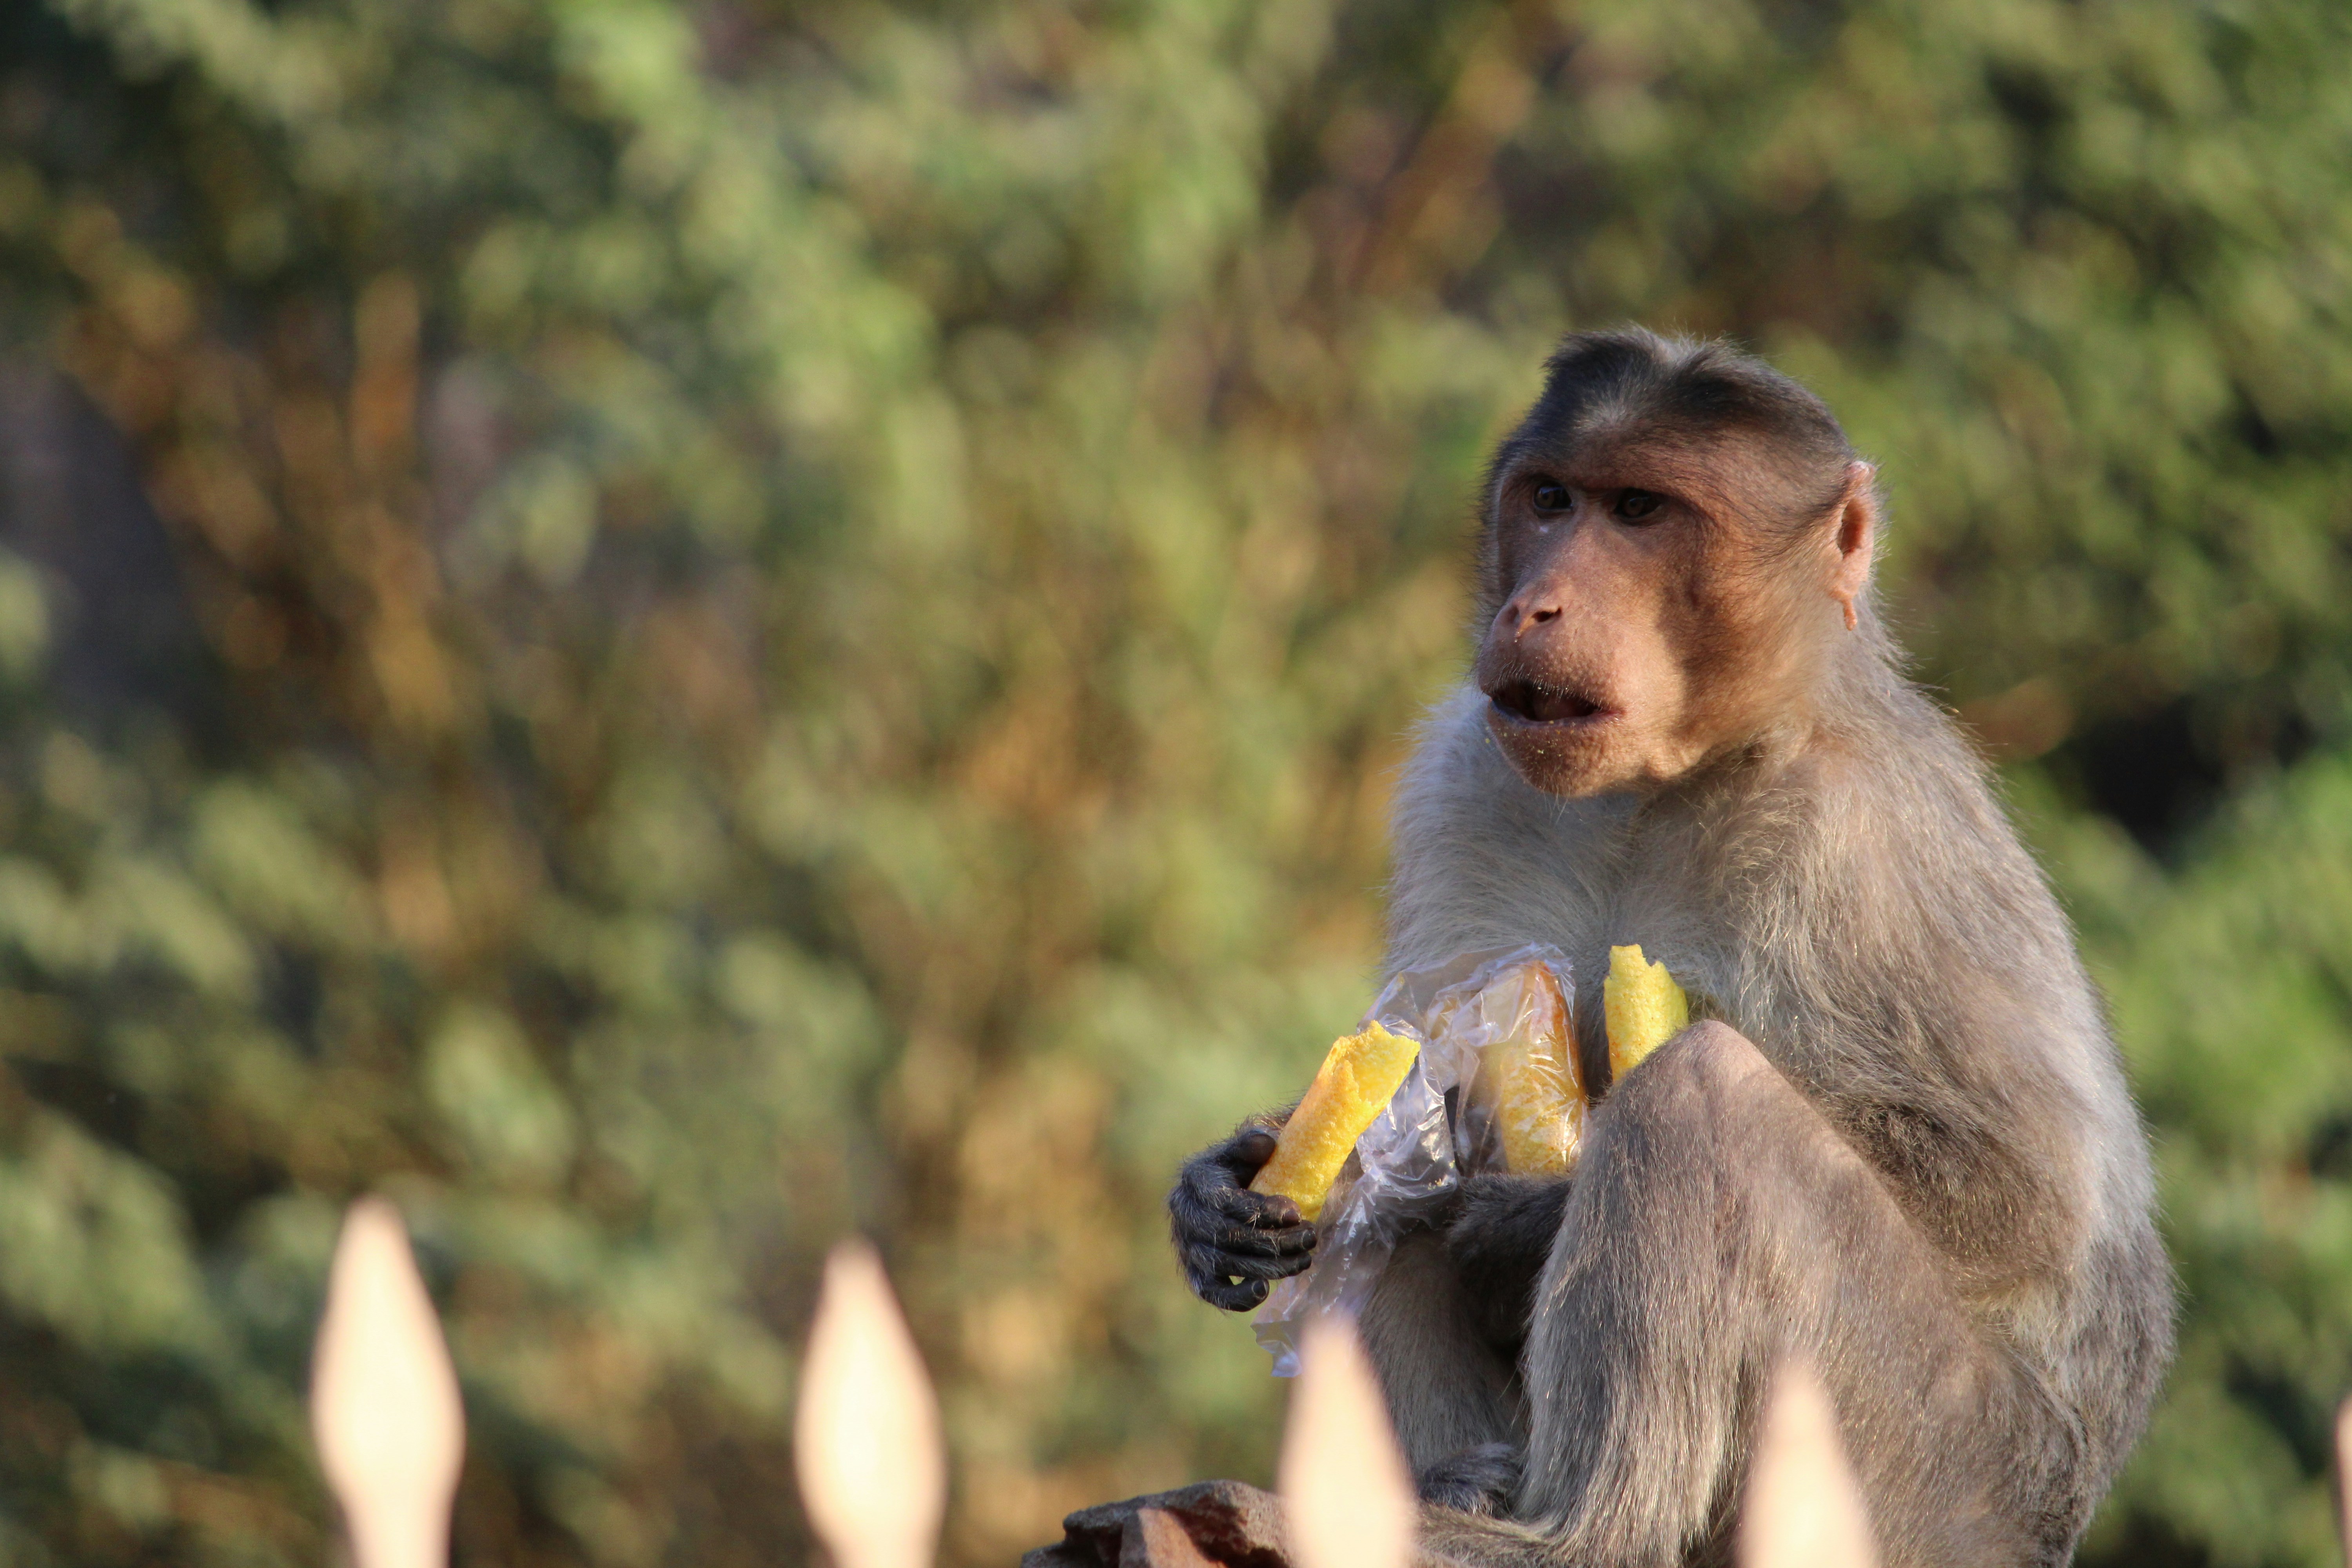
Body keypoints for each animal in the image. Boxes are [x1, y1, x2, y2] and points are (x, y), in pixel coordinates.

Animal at [1166, 330, 2173, 1567]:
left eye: (1641, 511)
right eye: (1552, 501)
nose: (1537, 605)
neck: (1662, 785)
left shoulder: (1857, 838)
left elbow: (2020, 1207)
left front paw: (1531, 1215)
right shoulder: (1463, 772)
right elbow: (1411, 1066)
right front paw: (1235, 1171)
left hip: (1930, 1466)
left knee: (1702, 1101)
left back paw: (1578, 1534)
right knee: (1399, 1199)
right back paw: (1461, 1482)